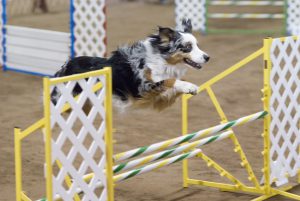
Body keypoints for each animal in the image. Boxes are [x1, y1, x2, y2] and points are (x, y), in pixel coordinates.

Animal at [52, 19, 209, 111]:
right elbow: (170, 80)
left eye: (197, 45)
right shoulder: (144, 88)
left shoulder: (159, 99)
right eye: (187, 47)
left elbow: (173, 83)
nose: (207, 57)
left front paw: (188, 87)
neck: (161, 60)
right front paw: (190, 86)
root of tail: (66, 65)